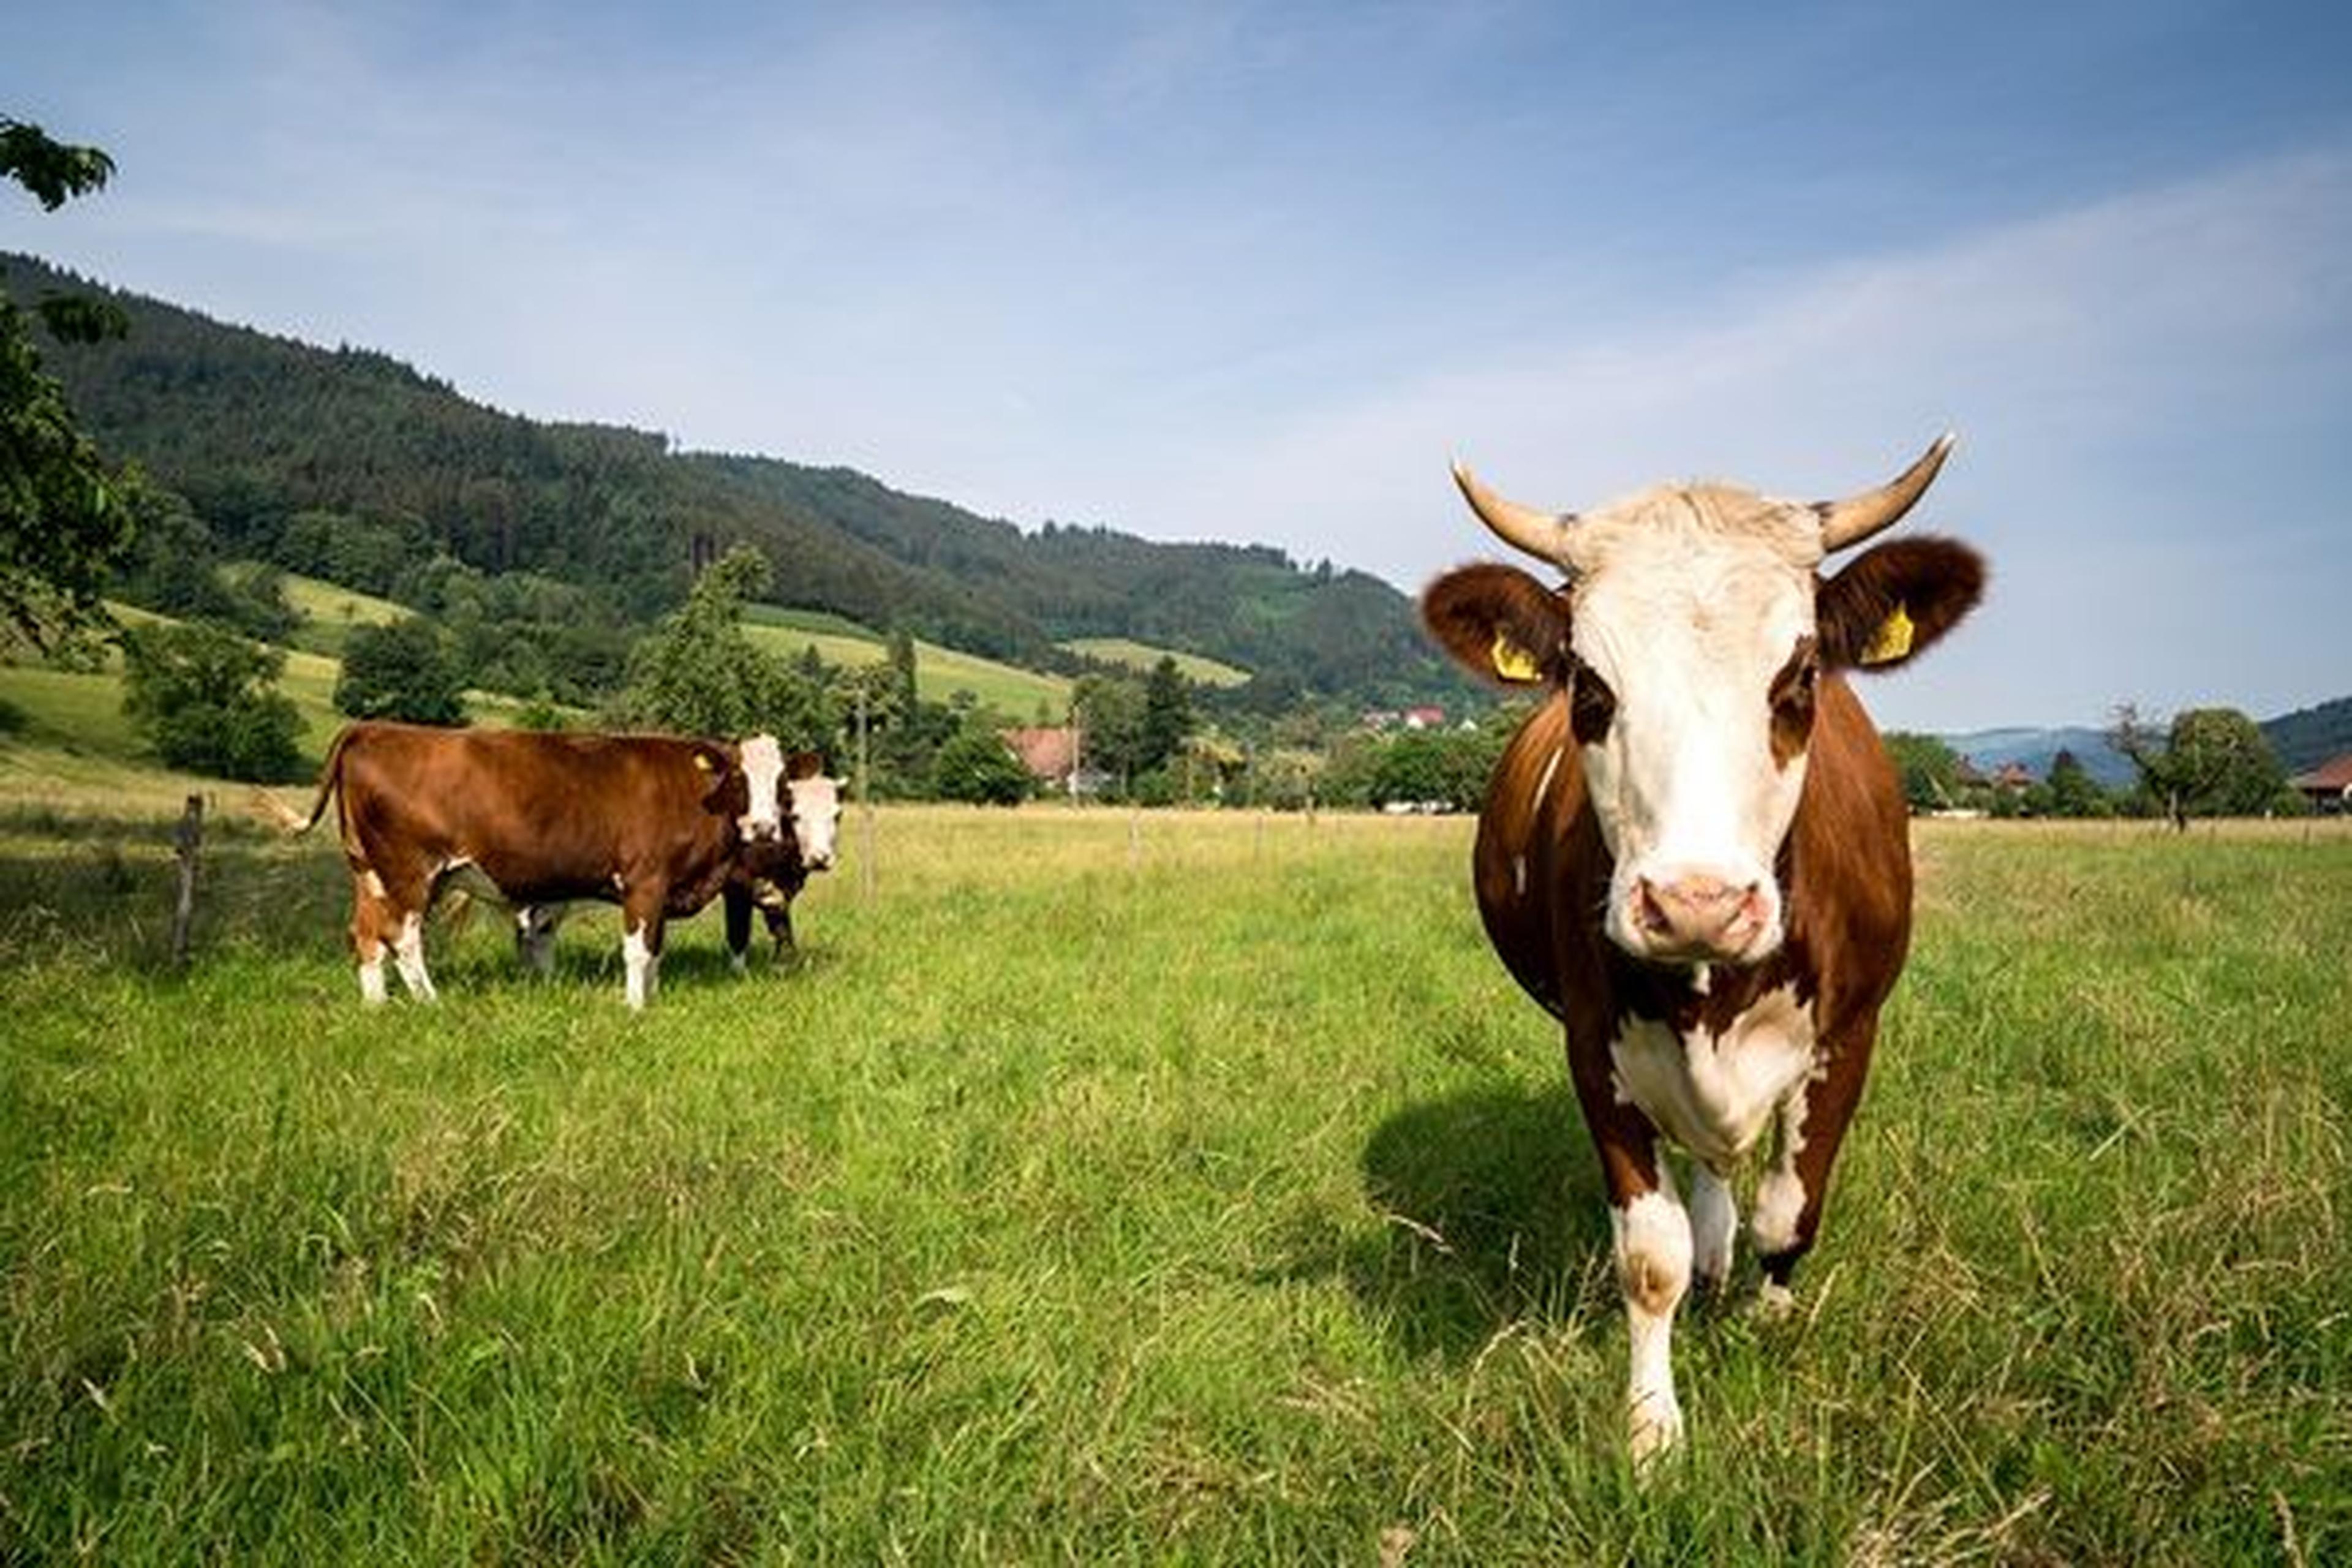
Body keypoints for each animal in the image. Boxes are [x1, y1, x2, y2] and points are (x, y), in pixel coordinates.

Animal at [303, 722, 814, 1009]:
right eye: (739, 777)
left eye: (782, 783)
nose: (765, 827)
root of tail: (374, 730)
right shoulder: (644, 881)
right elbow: (638, 949)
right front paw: (635, 1007)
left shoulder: (665, 888)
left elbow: (655, 949)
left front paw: (651, 996)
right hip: (412, 872)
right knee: (402, 937)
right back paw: (431, 1002)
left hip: (371, 873)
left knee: (366, 933)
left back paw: (376, 1004)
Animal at [1418, 435, 1985, 1465]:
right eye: (1590, 688)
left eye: (1797, 680)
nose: (1696, 904)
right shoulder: (1595, 1051)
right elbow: (1653, 1256)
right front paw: (1651, 1427)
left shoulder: (1851, 1034)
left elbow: (1789, 1212)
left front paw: (1771, 1329)